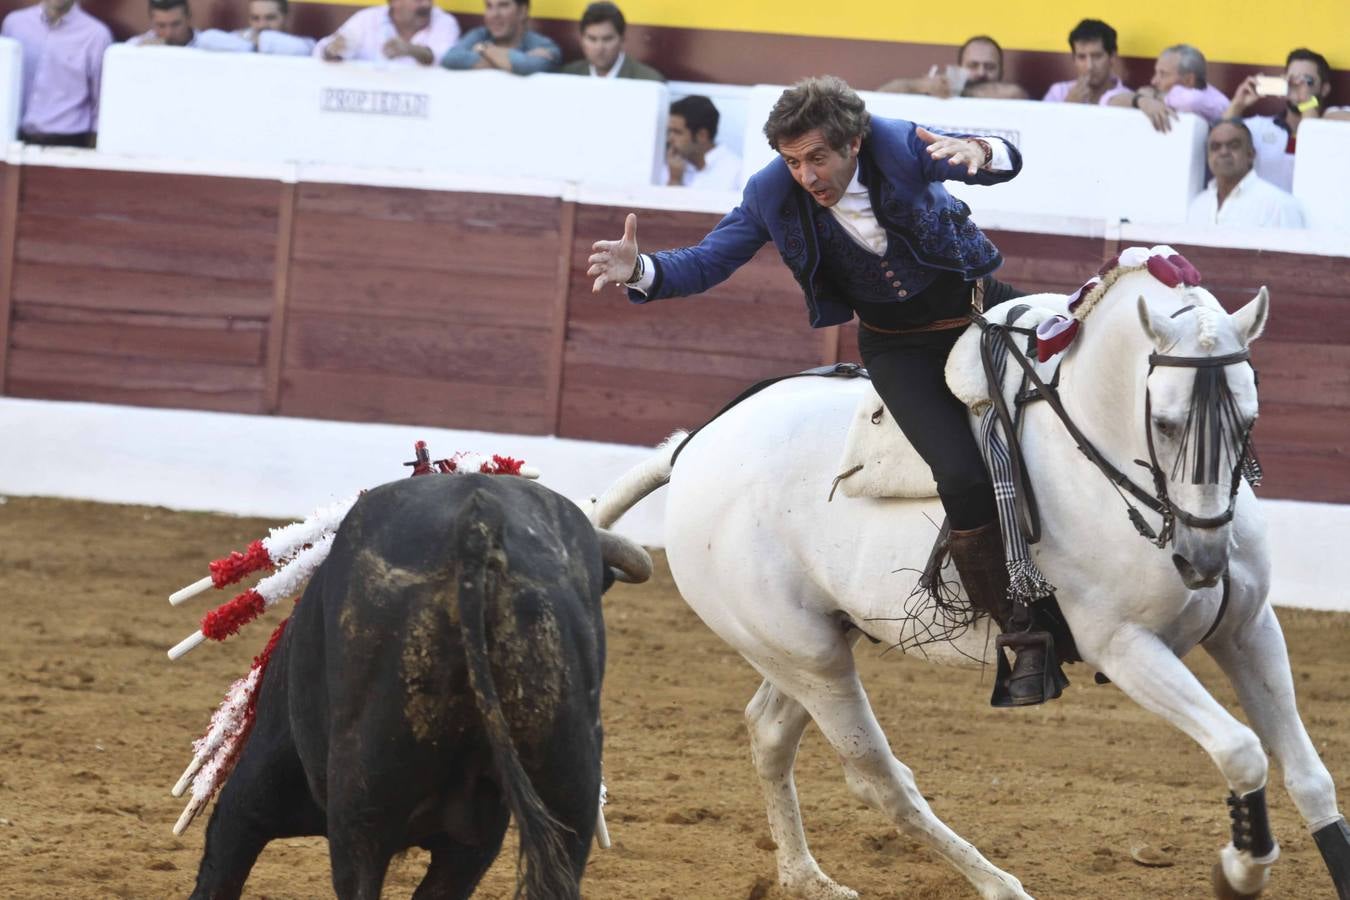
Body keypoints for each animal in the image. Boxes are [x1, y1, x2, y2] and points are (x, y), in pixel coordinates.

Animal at [599, 255, 1350, 900]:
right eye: (1164, 423)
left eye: (1250, 418)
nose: (1202, 562)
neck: (1097, 449)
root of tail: (693, 447)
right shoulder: (1125, 648)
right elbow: (1243, 750)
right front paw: (1239, 871)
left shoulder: (1249, 628)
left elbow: (1311, 776)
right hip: (805, 656)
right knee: (878, 778)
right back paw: (999, 884)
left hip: (815, 643)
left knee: (770, 733)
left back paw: (806, 876)